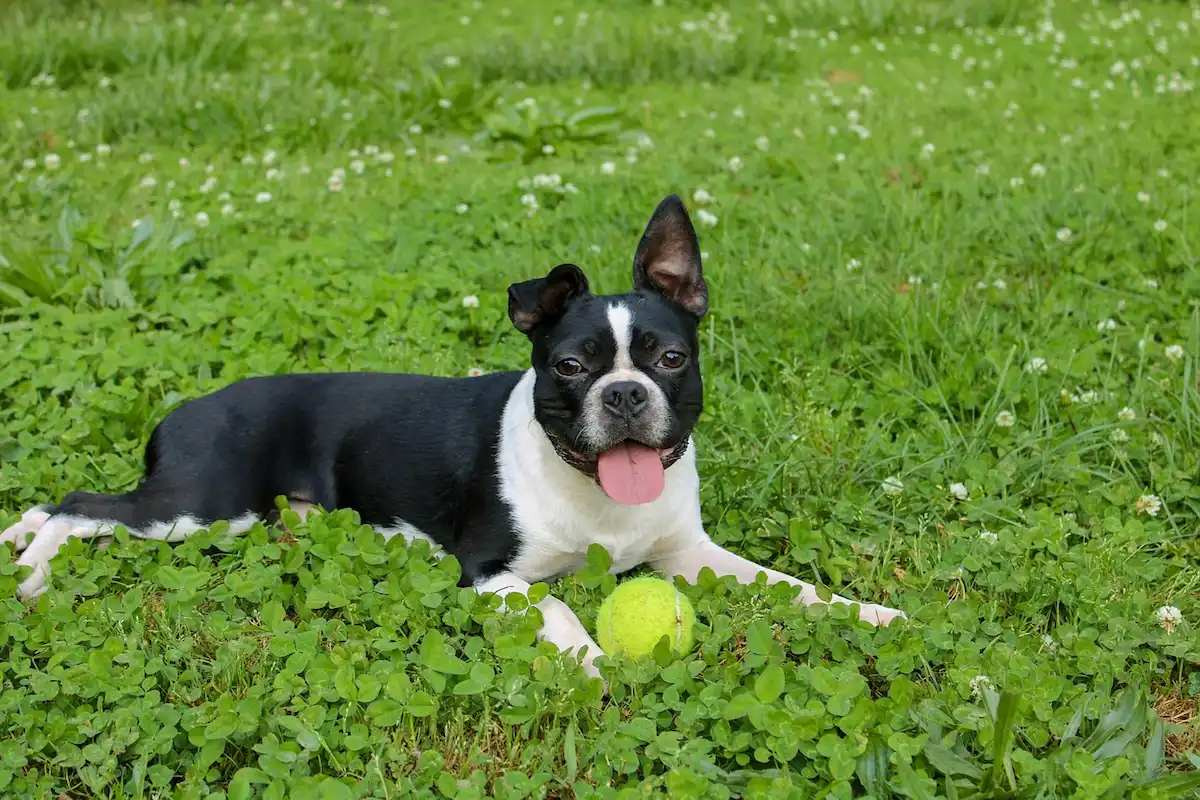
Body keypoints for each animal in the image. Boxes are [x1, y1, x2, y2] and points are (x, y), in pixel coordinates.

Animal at [0, 194, 902, 676]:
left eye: (671, 359)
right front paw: (592, 664)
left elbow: (786, 583)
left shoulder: (690, 554)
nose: (623, 394)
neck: (596, 494)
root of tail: (187, 405)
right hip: (202, 505)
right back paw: (34, 573)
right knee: (78, 504)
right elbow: (562, 608)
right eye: (570, 366)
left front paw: (872, 613)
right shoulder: (490, 573)